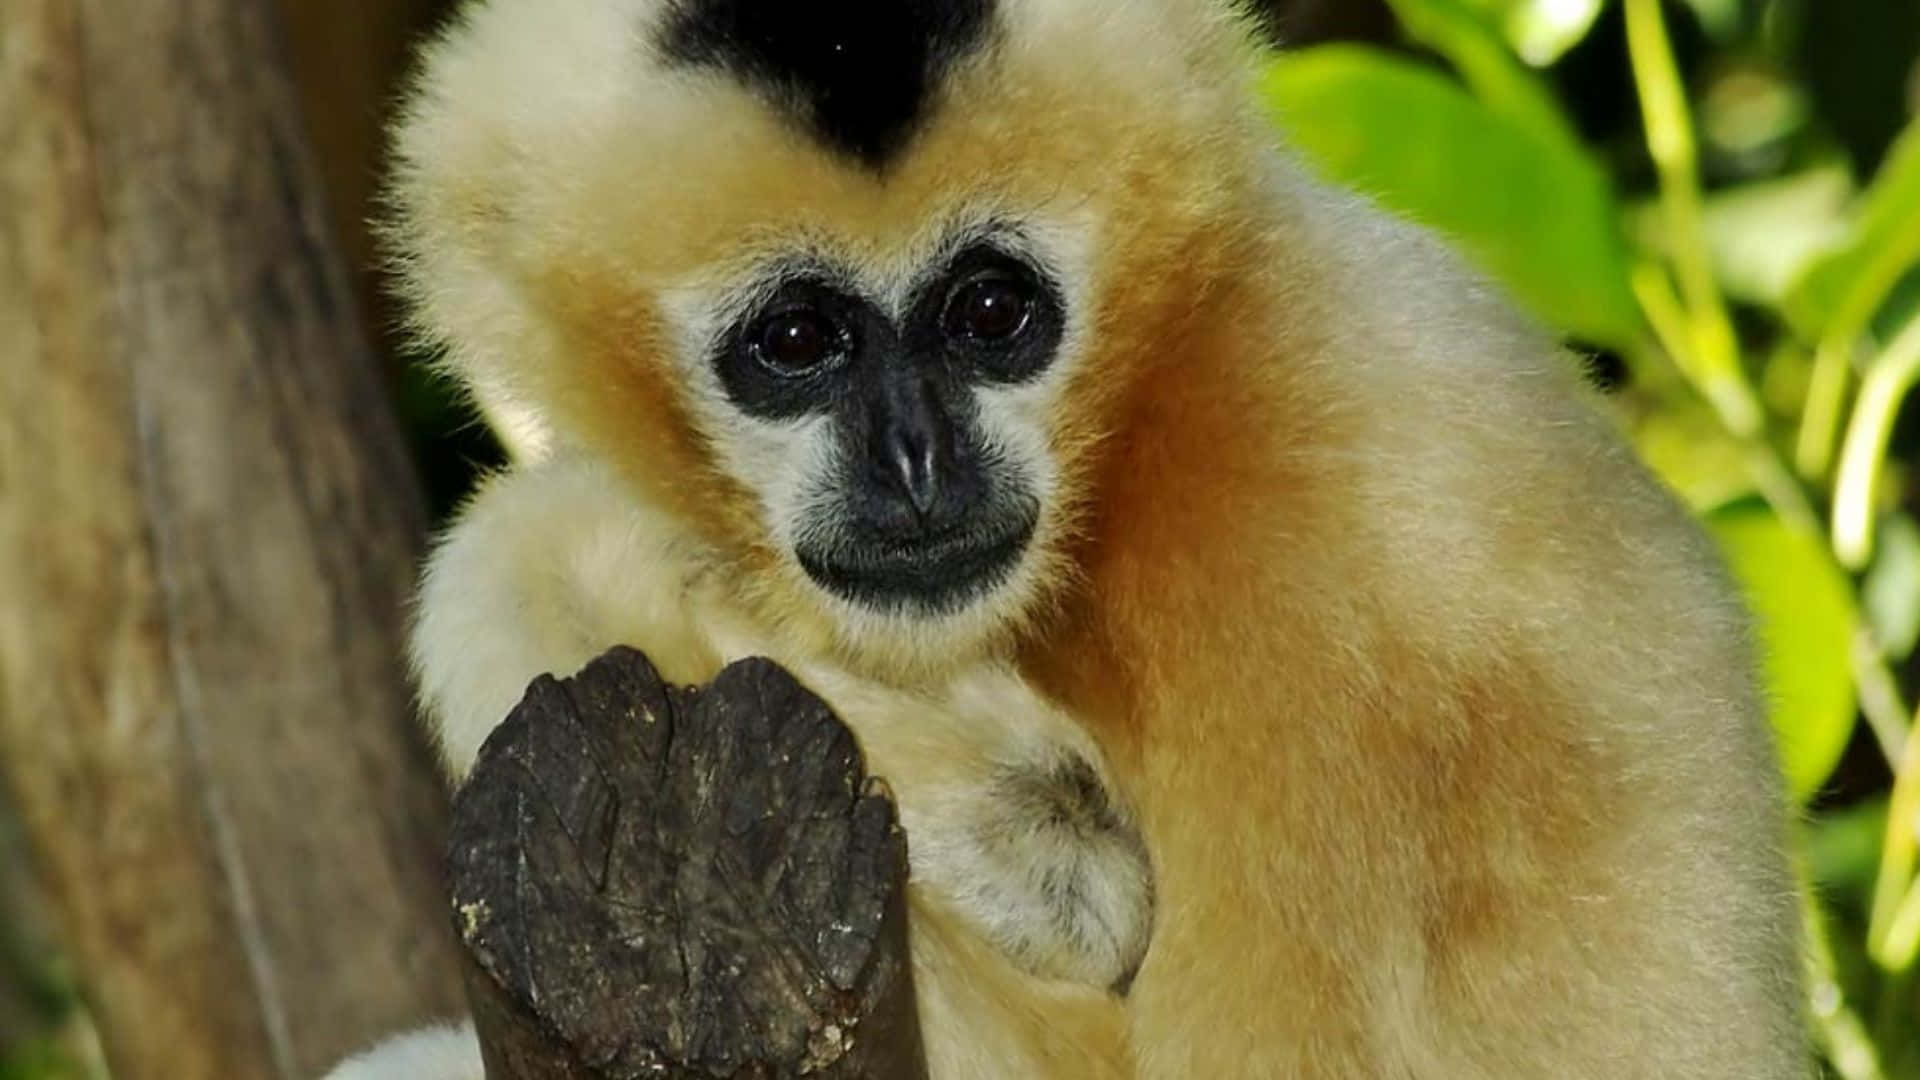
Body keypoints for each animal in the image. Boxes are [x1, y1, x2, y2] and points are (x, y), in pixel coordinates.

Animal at [323, 0, 1810, 1076]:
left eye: (992, 312)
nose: (917, 460)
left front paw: (1036, 825)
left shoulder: (1377, 549)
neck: (1141, 430)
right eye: (797, 339)